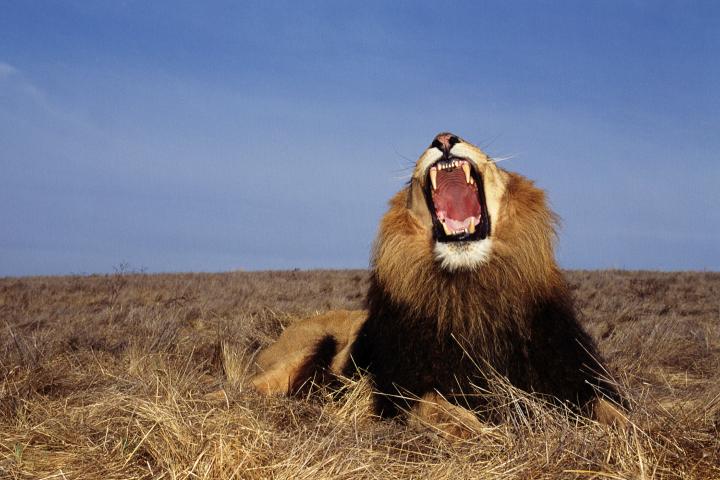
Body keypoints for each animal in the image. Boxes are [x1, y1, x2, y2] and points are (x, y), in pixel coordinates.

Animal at [251, 133, 625, 434]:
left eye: (490, 158)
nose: (444, 138)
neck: (471, 290)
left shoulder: (571, 376)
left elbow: (615, 412)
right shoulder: (398, 389)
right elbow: (442, 410)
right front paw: (490, 434)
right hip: (301, 351)